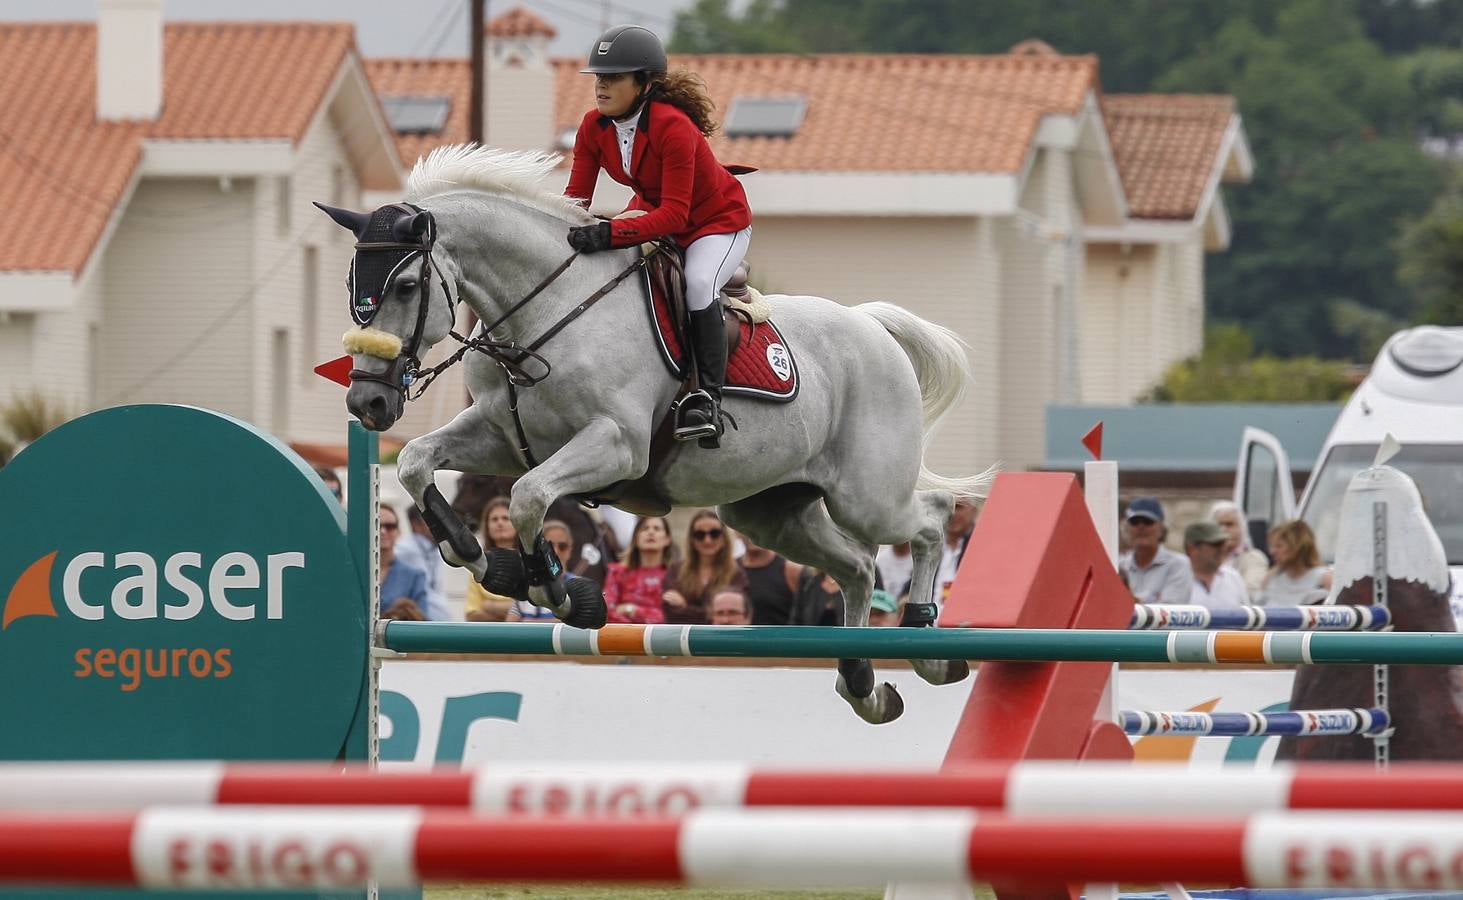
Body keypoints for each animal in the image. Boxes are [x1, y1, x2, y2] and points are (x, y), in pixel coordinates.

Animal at [318, 146, 994, 725]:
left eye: (407, 286)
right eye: (352, 284)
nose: (367, 401)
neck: (545, 312)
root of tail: (872, 326)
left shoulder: (616, 445)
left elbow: (529, 497)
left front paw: (561, 593)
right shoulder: (500, 437)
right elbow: (416, 461)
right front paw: (482, 558)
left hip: (866, 495)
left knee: (930, 519)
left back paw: (928, 643)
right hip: (770, 512)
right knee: (856, 566)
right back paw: (863, 684)